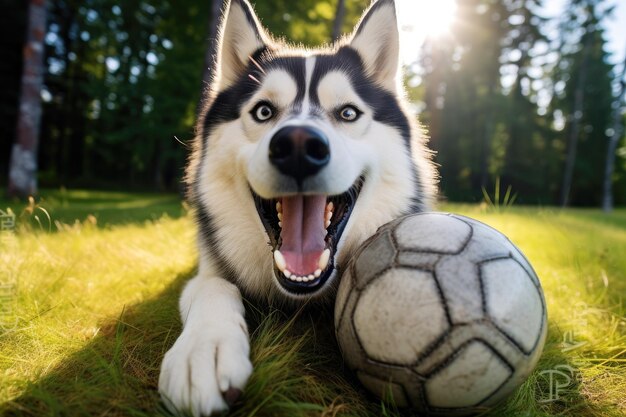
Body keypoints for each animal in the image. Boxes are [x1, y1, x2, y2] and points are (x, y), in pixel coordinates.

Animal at [158, 0, 436, 412]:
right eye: (262, 111)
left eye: (348, 113)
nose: (299, 147)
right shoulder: (209, 269)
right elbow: (213, 287)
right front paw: (202, 351)